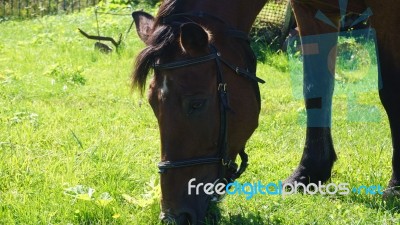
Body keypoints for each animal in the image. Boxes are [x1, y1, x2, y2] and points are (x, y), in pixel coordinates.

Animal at [134, 0, 400, 225]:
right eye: (152, 104)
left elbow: (391, 93)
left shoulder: (388, 13)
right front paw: (308, 172)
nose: (174, 216)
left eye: (196, 103)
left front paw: (395, 186)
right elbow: (316, 88)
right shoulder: (311, 10)